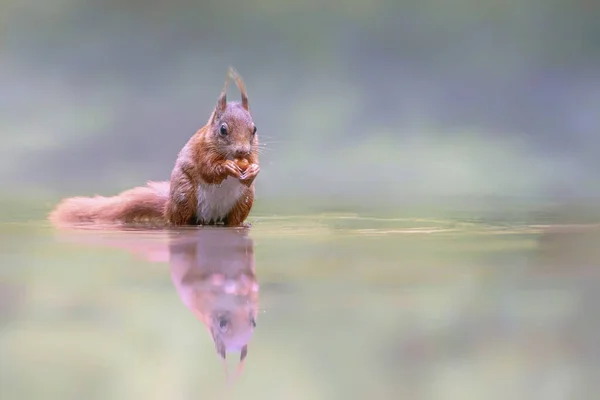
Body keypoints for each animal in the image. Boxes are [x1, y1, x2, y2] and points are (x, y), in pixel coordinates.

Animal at [48, 67, 258, 227]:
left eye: (254, 129)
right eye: (223, 129)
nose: (242, 151)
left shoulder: (252, 154)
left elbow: (251, 168)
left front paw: (253, 170)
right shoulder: (201, 150)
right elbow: (208, 169)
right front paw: (226, 166)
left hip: (244, 201)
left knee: (234, 220)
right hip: (184, 195)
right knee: (179, 220)